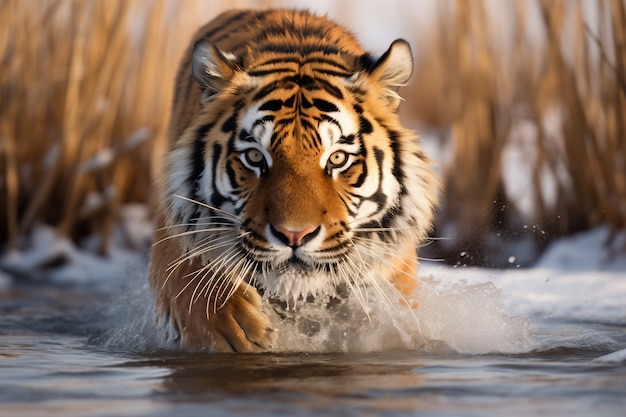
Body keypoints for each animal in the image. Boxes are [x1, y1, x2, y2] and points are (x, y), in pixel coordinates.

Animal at [148, 7, 436, 352]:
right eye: (255, 157)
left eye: (337, 159)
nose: (294, 236)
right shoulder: (172, 218)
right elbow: (188, 270)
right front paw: (231, 325)